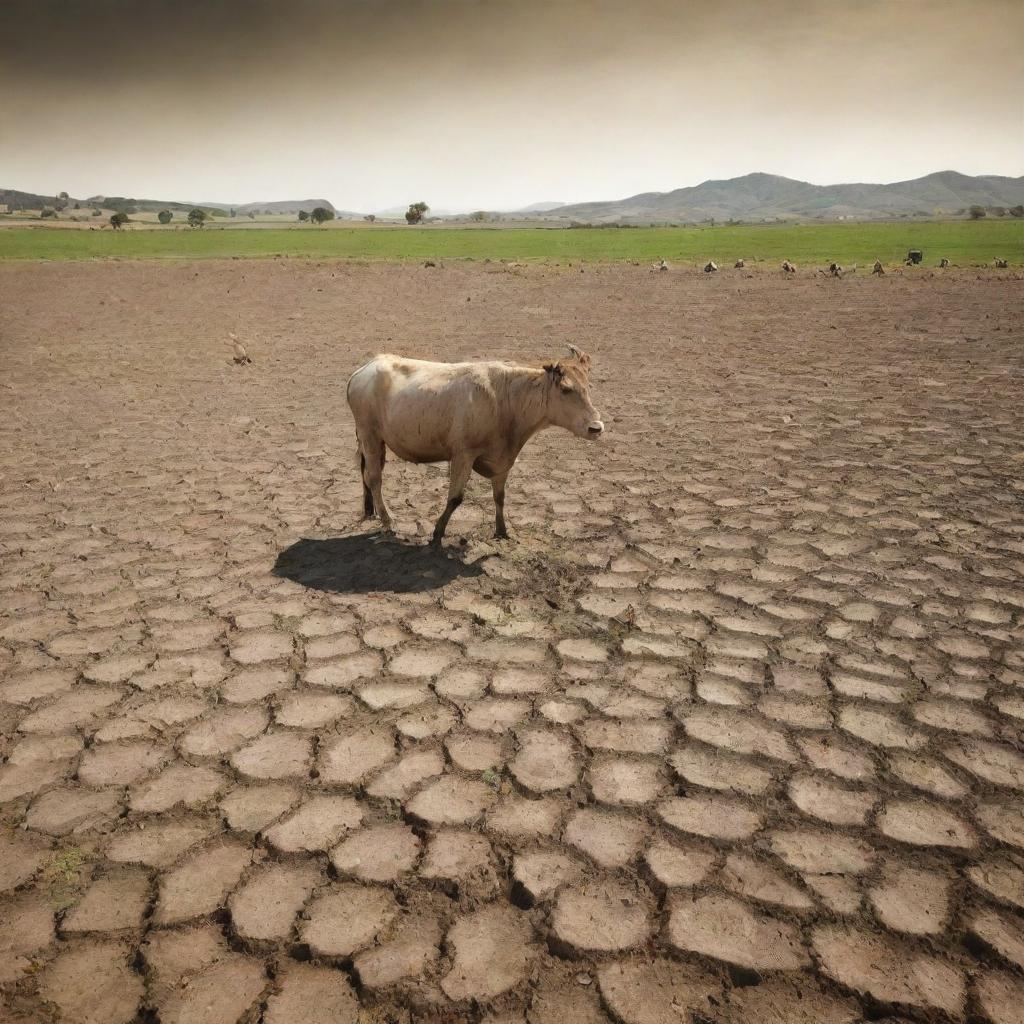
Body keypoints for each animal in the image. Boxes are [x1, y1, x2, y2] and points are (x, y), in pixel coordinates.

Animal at [346, 348, 598, 544]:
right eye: (565, 389)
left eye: (589, 386)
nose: (597, 427)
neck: (505, 399)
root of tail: (366, 368)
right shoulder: (463, 455)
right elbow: (456, 497)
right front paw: (437, 533)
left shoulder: (502, 460)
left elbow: (500, 496)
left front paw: (502, 530)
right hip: (369, 434)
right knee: (374, 479)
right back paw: (388, 520)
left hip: (377, 441)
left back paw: (374, 512)